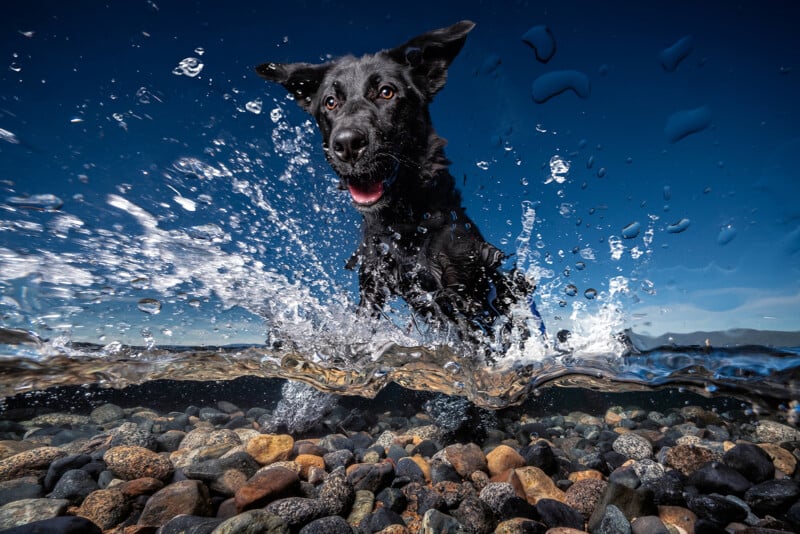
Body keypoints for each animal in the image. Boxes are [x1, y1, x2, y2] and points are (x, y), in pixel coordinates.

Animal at [260, 21, 536, 344]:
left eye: (386, 92)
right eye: (330, 102)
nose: (347, 144)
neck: (404, 222)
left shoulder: (459, 294)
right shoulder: (372, 285)